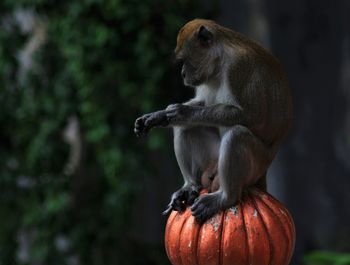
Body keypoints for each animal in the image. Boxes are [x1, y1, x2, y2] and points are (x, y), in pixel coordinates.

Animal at [134, 18, 292, 223]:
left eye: (184, 60)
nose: (183, 73)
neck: (220, 61)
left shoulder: (238, 68)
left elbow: (252, 115)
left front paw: (183, 112)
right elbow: (202, 103)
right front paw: (159, 115)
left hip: (257, 164)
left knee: (236, 135)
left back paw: (225, 197)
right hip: (213, 159)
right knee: (184, 129)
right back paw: (190, 186)